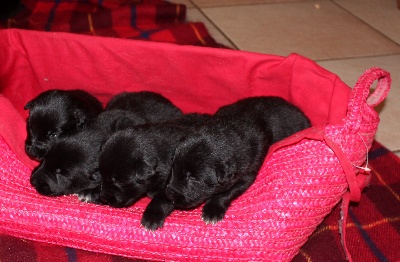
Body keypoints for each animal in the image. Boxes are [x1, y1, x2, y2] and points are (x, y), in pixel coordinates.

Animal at [166, 97, 312, 224]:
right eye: (173, 169)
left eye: (193, 178)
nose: (170, 195)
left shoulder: (247, 174)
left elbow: (227, 192)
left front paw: (212, 210)